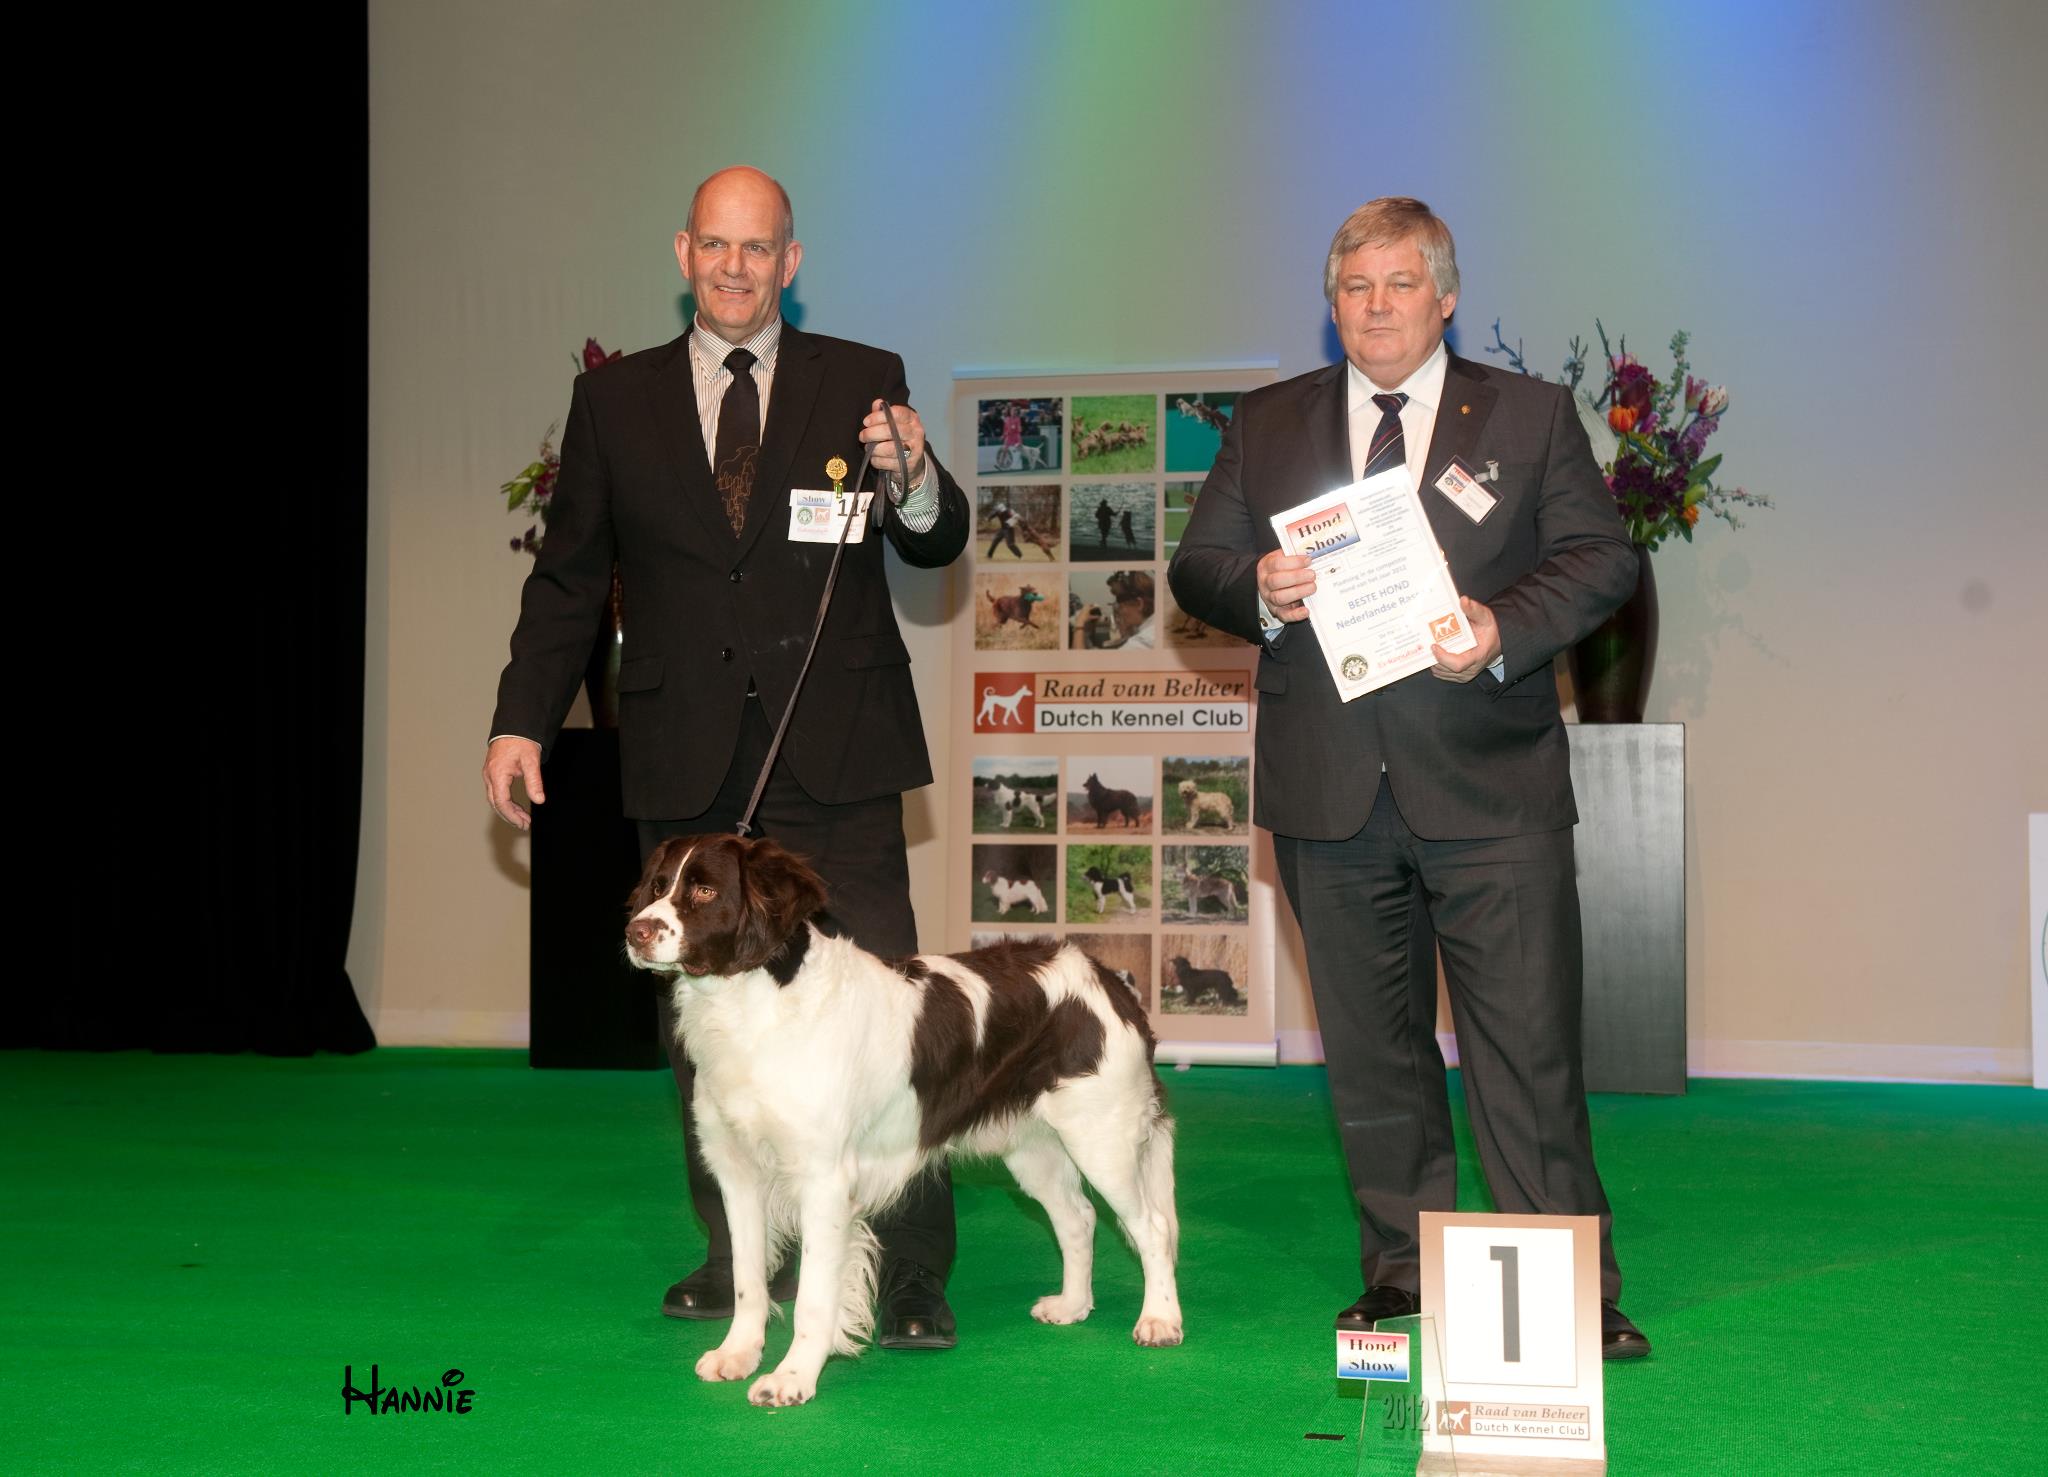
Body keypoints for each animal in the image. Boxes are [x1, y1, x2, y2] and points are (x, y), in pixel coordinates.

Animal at [618, 827, 1187, 1409]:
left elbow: (813, 1299)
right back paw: (1072, 1306)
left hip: (1101, 1137)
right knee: (1078, 1217)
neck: (753, 1004)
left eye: (705, 891)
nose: (635, 932)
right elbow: (747, 1279)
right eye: (658, 886)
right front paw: (738, 1354)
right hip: (1034, 1149)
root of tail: (1105, 978)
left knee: (1152, 1226)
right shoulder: (740, 1175)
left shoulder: (823, 1181)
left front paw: (792, 1378)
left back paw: (1160, 1320)